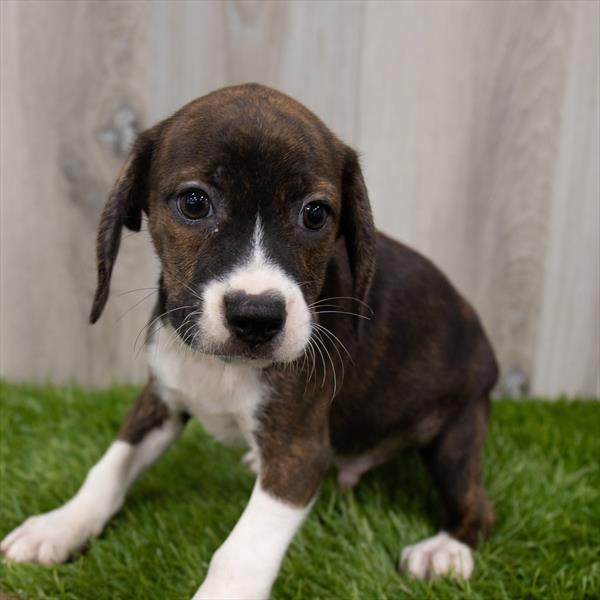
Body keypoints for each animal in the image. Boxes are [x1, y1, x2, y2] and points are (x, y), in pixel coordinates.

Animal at [0, 83, 496, 596]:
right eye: (194, 203)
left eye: (315, 214)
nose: (256, 318)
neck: (222, 369)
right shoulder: (161, 398)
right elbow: (109, 466)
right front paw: (59, 525)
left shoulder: (300, 452)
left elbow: (241, 550)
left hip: (456, 432)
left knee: (477, 506)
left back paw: (446, 550)